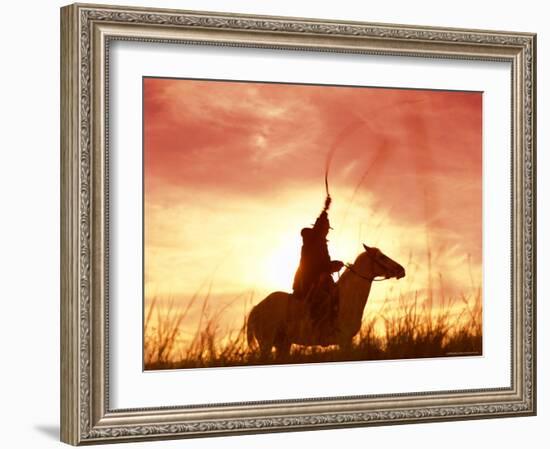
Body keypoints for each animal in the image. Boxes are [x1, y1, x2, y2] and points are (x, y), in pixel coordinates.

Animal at [248, 245, 408, 356]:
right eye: (382, 257)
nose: (402, 270)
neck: (347, 299)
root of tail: (257, 307)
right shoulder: (344, 341)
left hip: (283, 344)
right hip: (267, 343)